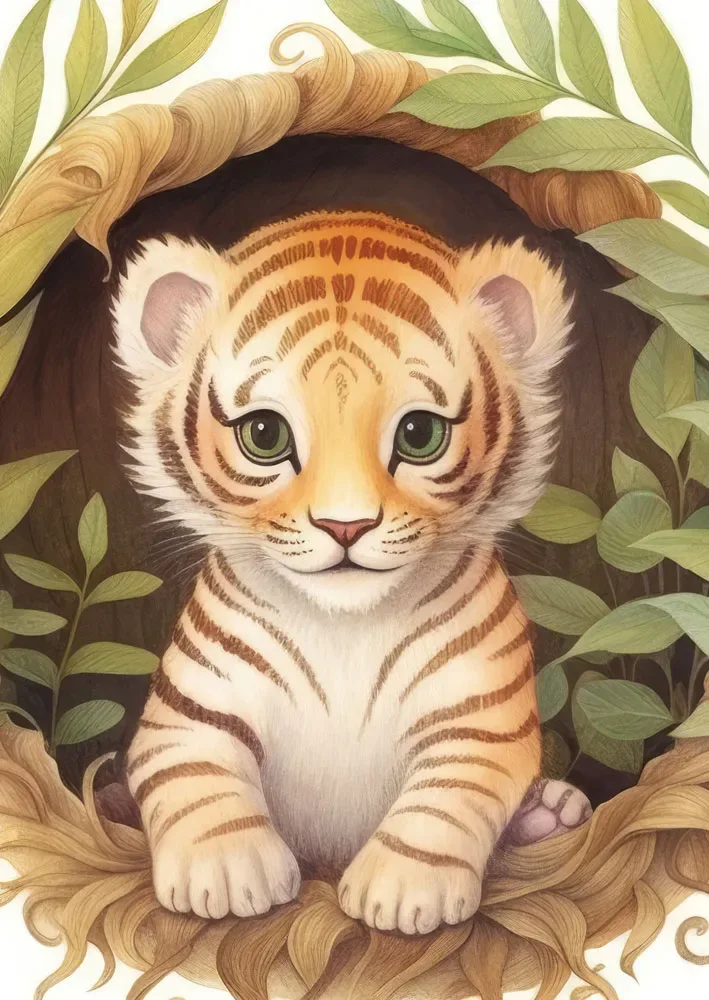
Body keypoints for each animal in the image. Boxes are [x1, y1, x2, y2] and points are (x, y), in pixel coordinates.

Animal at [111, 209, 591, 935]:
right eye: (264, 435)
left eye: (420, 434)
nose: (345, 526)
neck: (343, 628)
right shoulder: (189, 715)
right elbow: (197, 784)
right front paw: (224, 872)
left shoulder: (477, 718)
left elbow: (442, 801)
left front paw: (404, 889)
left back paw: (553, 815)